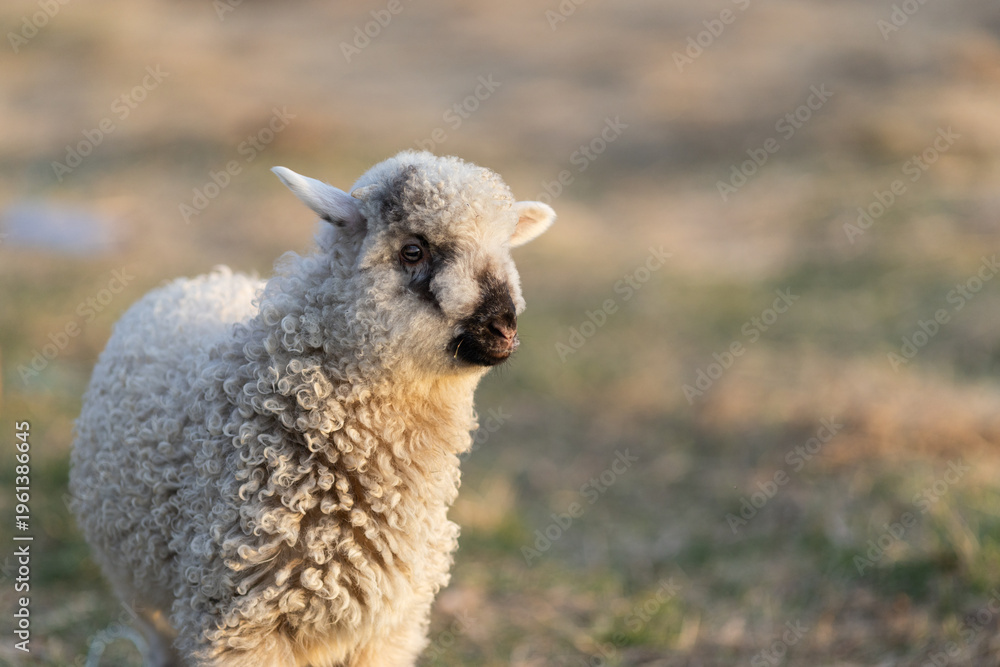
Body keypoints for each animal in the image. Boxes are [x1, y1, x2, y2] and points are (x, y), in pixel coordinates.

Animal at [69, 150, 555, 667]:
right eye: (413, 250)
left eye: (504, 247)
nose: (504, 328)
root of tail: (201, 280)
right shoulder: (238, 623)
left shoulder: (387, 628)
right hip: (148, 597)